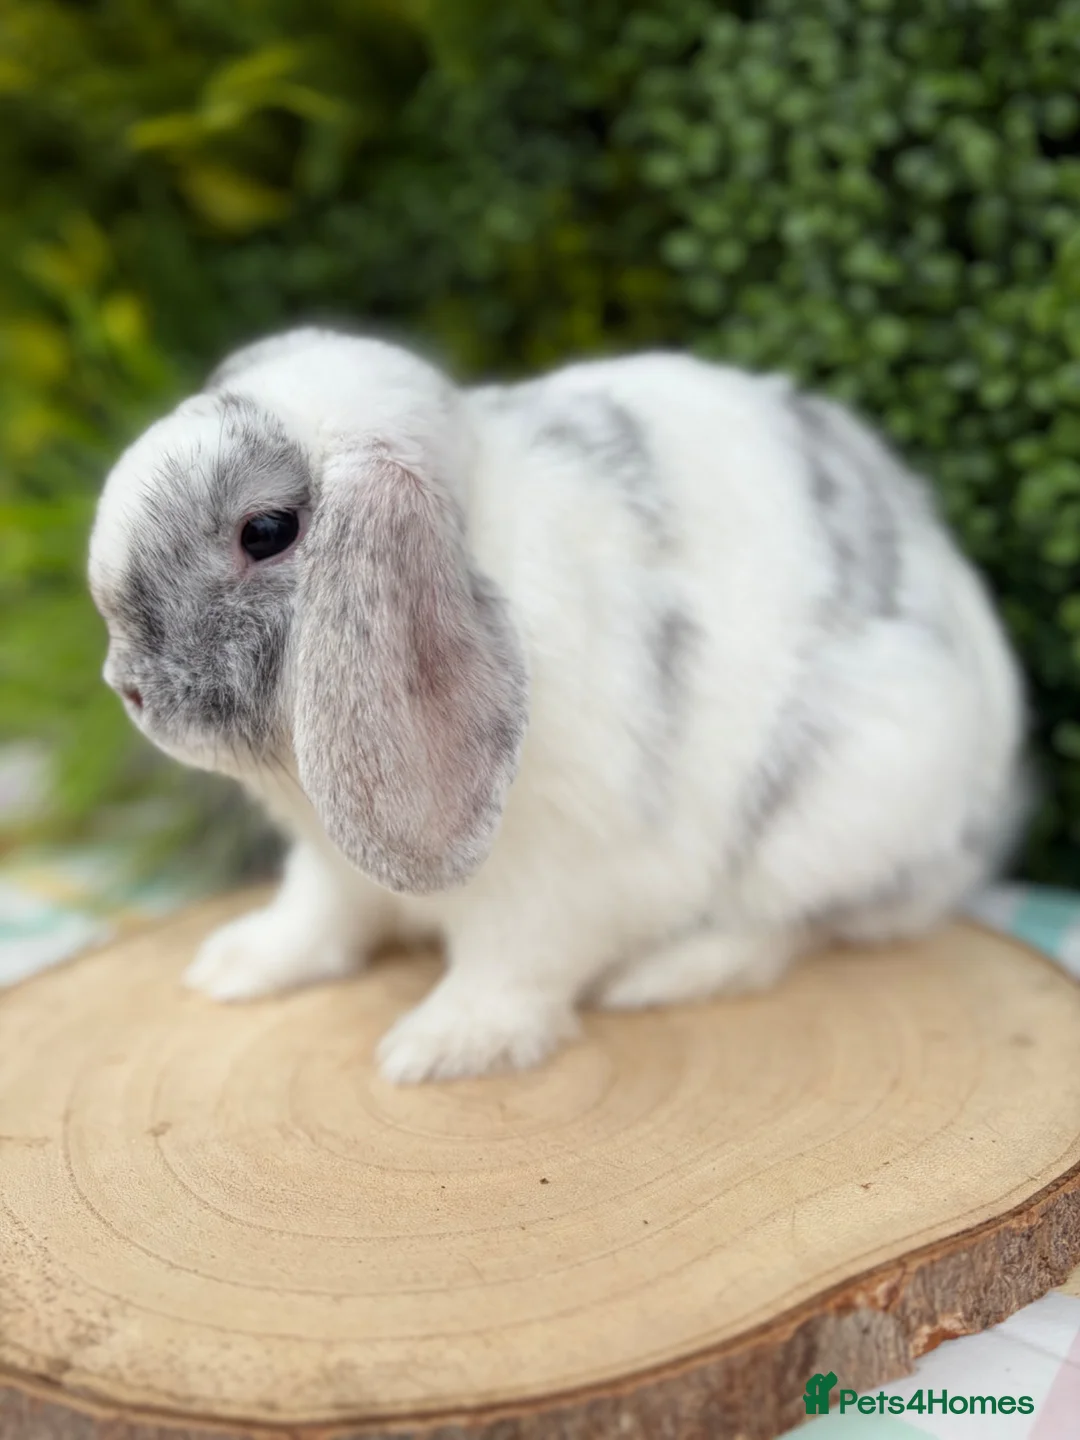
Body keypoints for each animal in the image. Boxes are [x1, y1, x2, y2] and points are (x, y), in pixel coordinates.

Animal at [88, 327, 1030, 1083]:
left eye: (266, 532)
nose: (125, 689)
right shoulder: (332, 865)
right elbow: (320, 915)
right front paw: (238, 964)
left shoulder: (550, 883)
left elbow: (511, 968)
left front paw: (440, 1048)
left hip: (839, 809)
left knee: (796, 927)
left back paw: (669, 974)